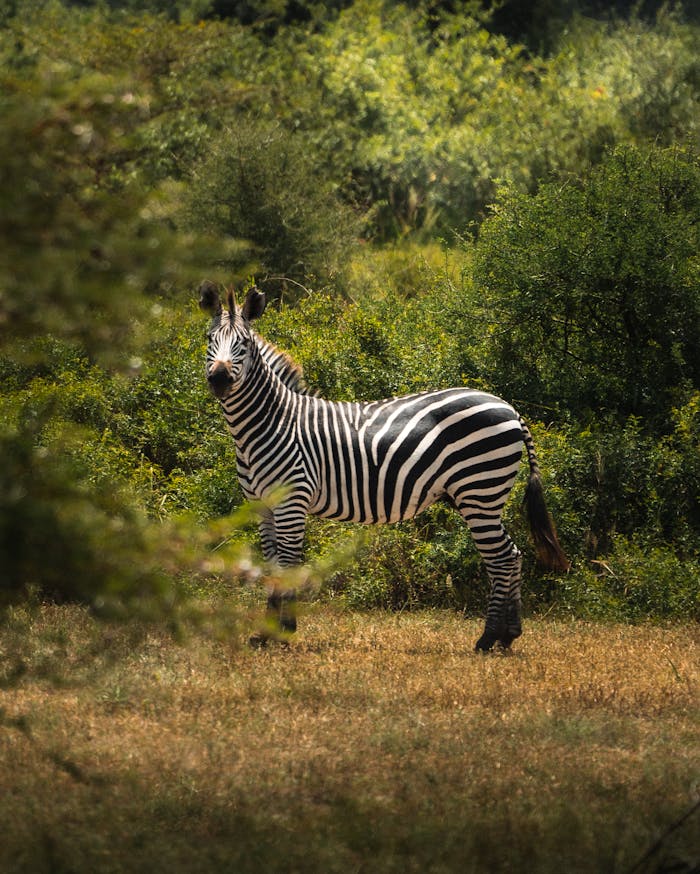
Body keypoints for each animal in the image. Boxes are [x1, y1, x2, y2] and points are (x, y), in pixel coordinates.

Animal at [199, 281, 569, 651]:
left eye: (244, 344)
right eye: (209, 338)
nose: (219, 378)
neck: (269, 425)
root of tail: (509, 408)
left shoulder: (292, 500)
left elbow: (288, 565)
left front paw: (285, 631)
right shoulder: (261, 506)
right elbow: (272, 566)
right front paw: (266, 633)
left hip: (479, 490)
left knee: (502, 559)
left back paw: (488, 637)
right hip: (482, 496)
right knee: (513, 555)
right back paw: (508, 635)